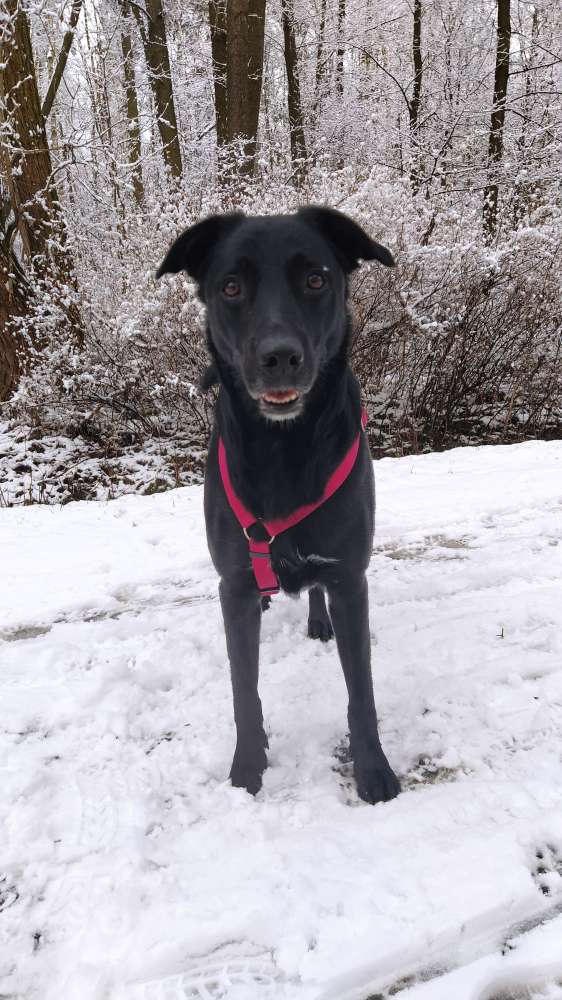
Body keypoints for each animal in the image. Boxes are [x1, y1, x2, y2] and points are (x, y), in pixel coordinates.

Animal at [159, 209, 398, 804]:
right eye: (230, 287)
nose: (280, 357)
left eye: (316, 279)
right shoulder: (233, 587)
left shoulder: (349, 578)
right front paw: (248, 767)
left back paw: (316, 618)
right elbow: (244, 691)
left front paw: (373, 770)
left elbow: (361, 692)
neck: (282, 448)